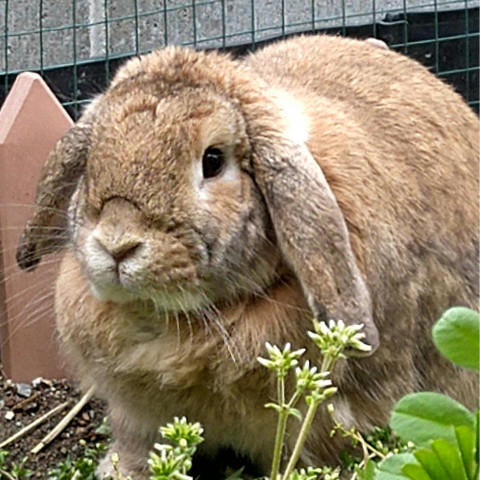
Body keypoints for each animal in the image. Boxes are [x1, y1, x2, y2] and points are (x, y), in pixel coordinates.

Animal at [16, 34, 478, 478]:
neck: (176, 321)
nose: (117, 244)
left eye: (213, 160)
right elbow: (138, 445)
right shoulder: (138, 416)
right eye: (93, 157)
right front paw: (122, 472)